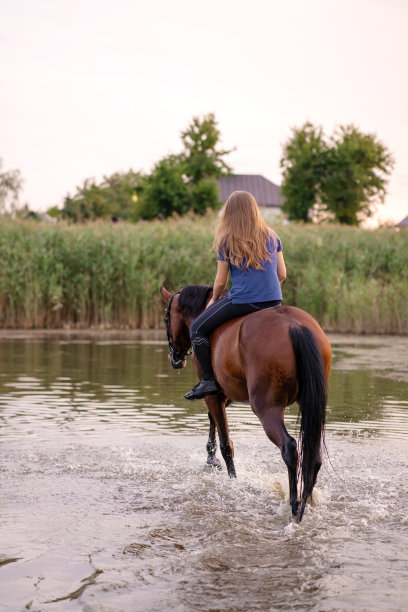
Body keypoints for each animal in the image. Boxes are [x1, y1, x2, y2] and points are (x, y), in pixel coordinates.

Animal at [159, 284, 332, 520]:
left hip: (267, 408)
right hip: (311, 404)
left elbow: (226, 443)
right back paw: (308, 499)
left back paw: (295, 506)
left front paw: (231, 479)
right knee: (312, 453)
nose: (175, 359)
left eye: (166, 319)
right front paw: (211, 459)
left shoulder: (212, 394)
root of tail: (295, 326)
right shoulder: (226, 395)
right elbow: (213, 420)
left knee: (289, 448)